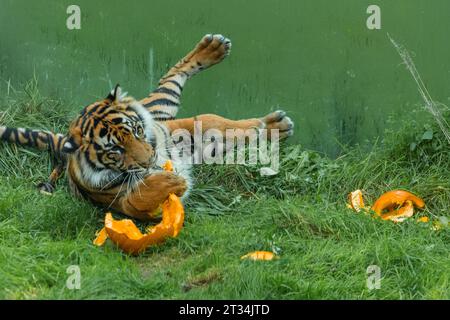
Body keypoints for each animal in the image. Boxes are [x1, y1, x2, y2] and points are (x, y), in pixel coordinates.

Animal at [0, 34, 294, 220]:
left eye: (136, 131)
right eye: (114, 151)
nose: (150, 160)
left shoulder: (190, 133)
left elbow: (227, 125)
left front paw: (269, 126)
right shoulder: (119, 202)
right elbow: (139, 198)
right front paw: (170, 182)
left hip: (162, 105)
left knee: (172, 77)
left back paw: (214, 49)